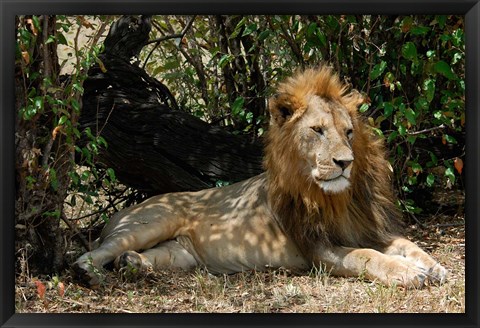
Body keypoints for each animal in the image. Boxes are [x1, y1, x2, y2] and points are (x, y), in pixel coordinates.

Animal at [73, 65, 448, 288]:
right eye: (317, 130)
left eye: (349, 132)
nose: (345, 162)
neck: (337, 199)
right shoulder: (318, 249)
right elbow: (366, 256)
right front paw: (407, 272)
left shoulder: (371, 228)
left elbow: (407, 244)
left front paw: (434, 266)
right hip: (150, 222)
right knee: (96, 250)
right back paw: (90, 272)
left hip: (179, 254)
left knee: (147, 256)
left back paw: (132, 264)